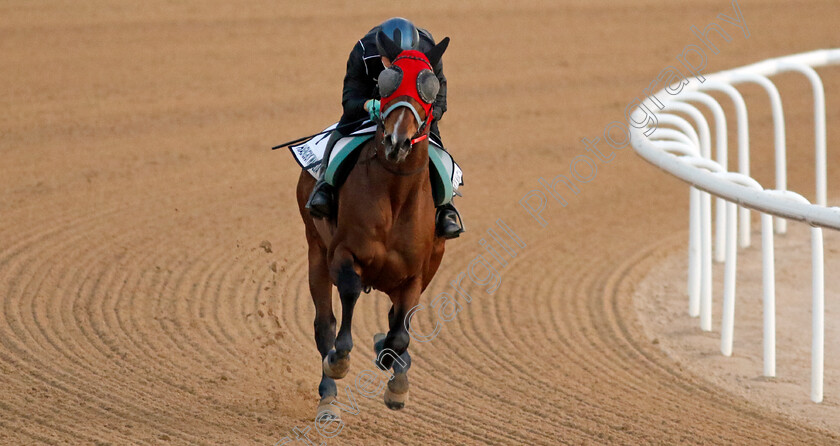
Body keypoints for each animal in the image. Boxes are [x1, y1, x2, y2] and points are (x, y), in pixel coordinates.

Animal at [296, 33, 452, 420]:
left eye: (429, 86)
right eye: (386, 83)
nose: (397, 141)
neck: (395, 195)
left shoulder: (417, 273)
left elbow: (400, 331)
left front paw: (395, 380)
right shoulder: (343, 253)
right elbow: (349, 294)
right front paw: (339, 360)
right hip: (315, 249)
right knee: (324, 323)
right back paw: (328, 399)